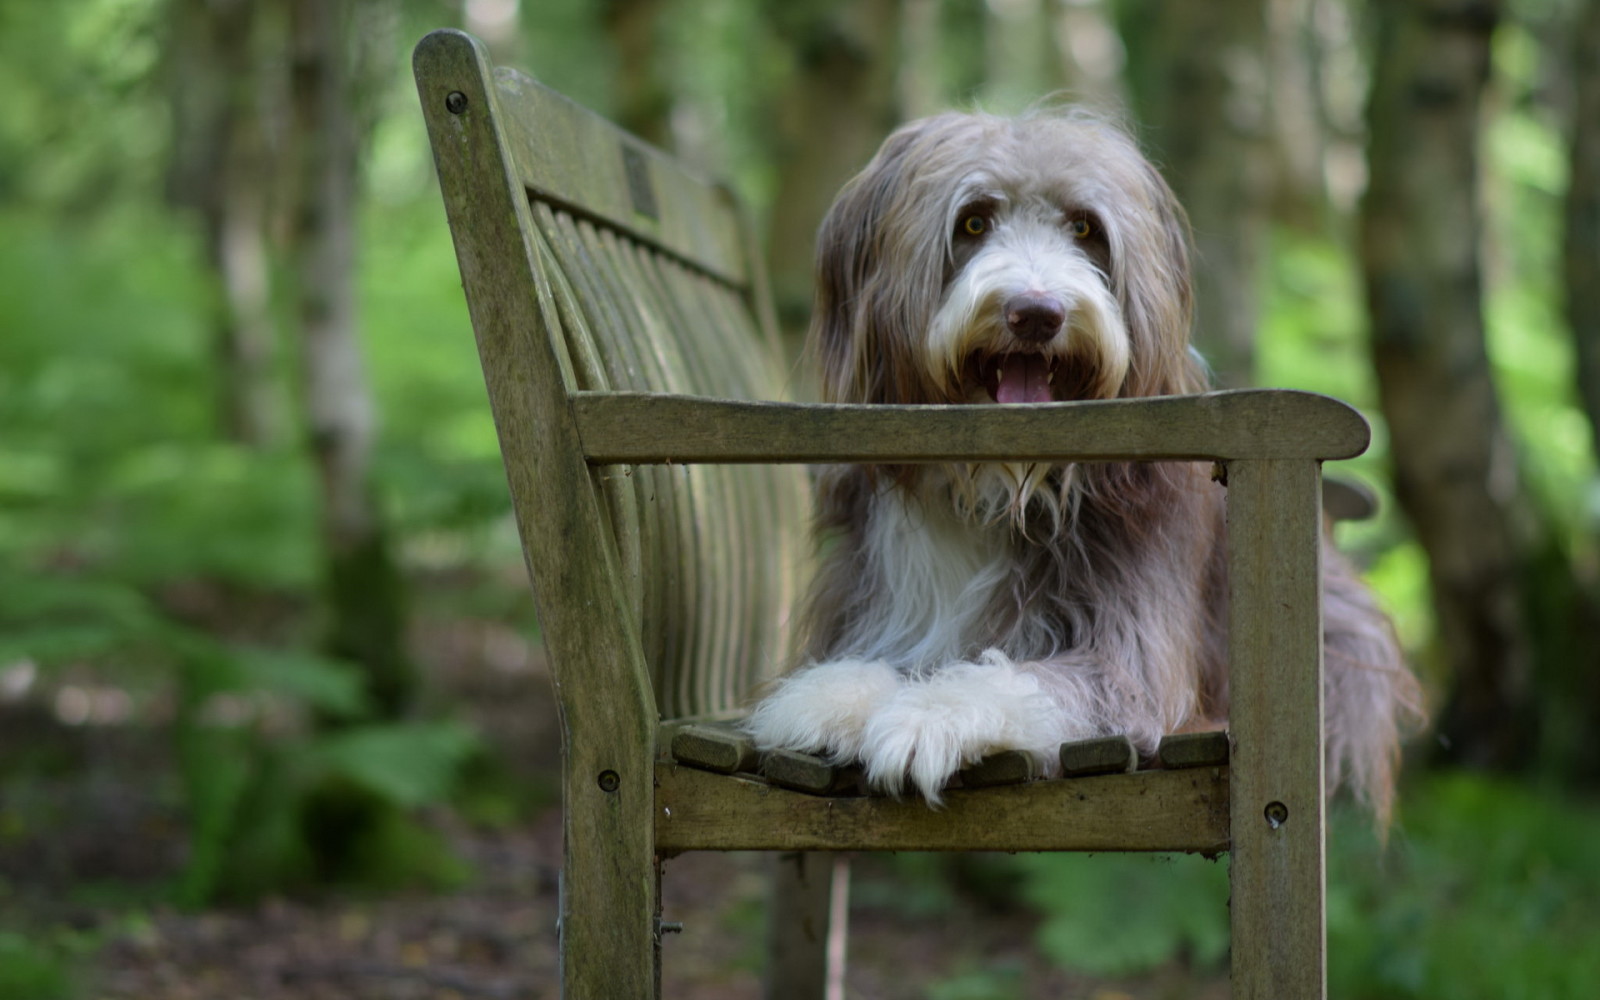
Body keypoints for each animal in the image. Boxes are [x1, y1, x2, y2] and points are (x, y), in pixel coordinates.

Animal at [739, 107, 1427, 819]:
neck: (1000, 486)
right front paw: (830, 698)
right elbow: (877, 658)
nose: (1036, 313)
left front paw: (928, 717)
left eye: (1084, 228)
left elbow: (1035, 679)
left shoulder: (1133, 653)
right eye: (973, 223)